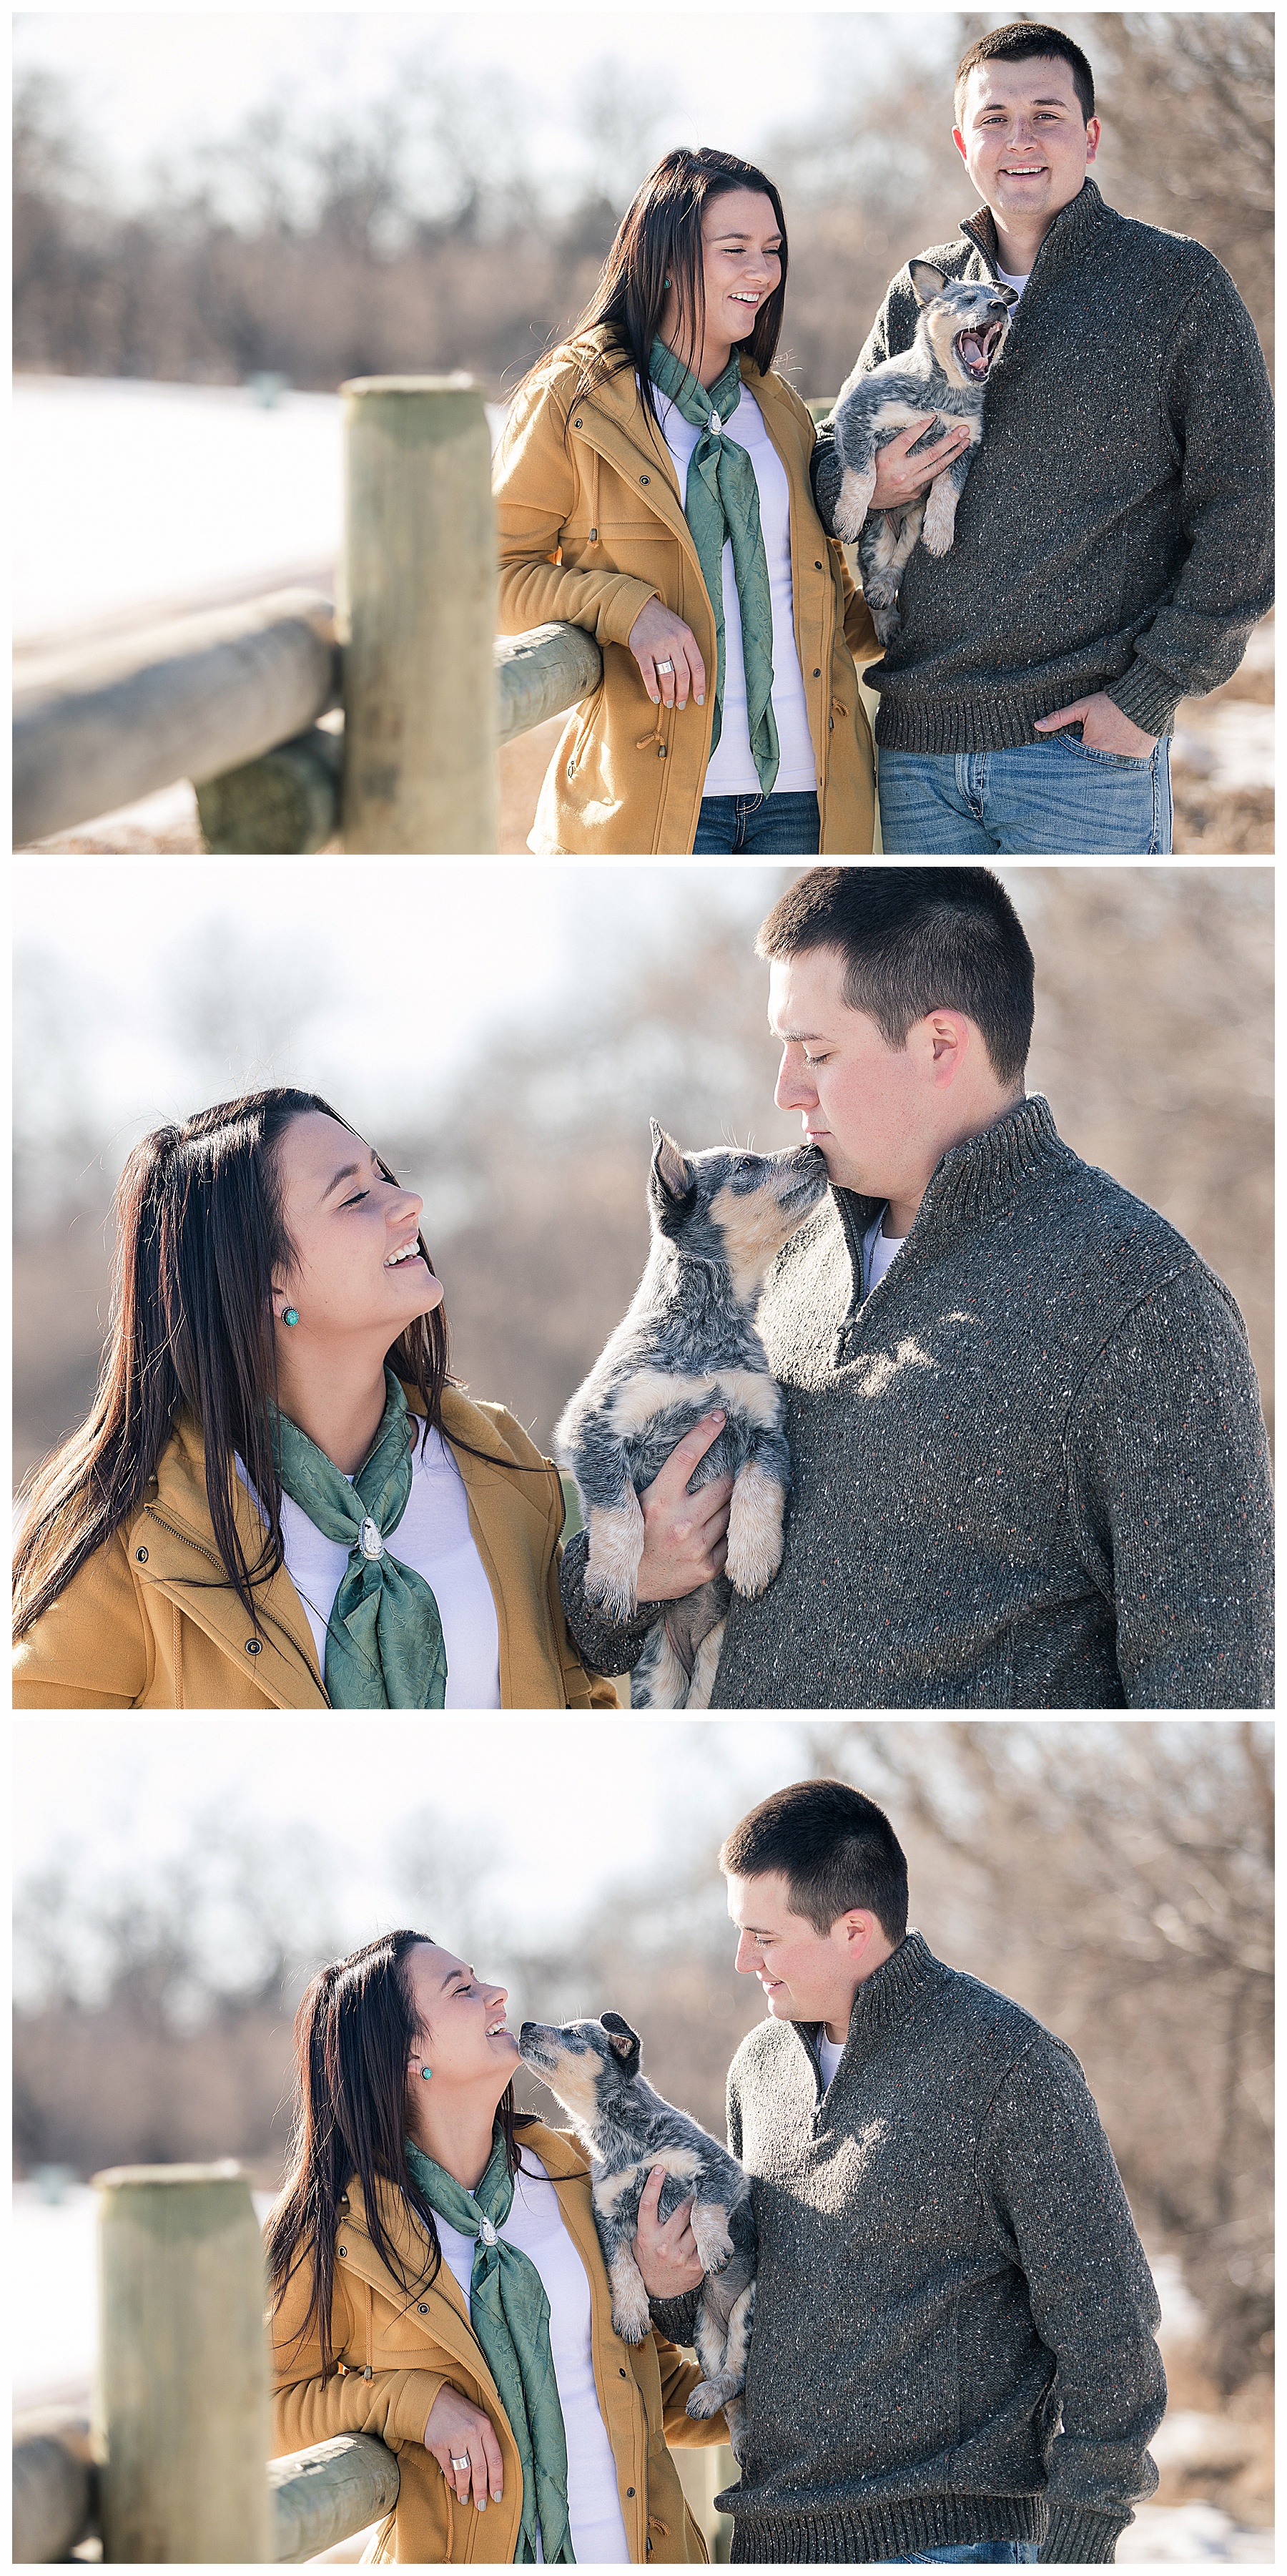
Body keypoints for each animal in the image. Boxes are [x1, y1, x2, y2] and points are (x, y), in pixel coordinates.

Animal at [515, 2009, 751, 2452]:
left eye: (575, 2034)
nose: (524, 2026)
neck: (621, 2141)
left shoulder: (718, 2168)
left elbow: (704, 2209)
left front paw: (712, 2247)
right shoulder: (607, 2214)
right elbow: (621, 2267)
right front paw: (630, 2314)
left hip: (747, 2311)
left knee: (739, 2374)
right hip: (706, 2333)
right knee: (732, 2390)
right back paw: (713, 2404)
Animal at [558, 1128, 829, 1710]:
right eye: (746, 1165)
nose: (815, 1148)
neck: (710, 1326)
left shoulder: (766, 1424)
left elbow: (760, 1486)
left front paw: (753, 1556)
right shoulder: (593, 1426)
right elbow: (619, 1512)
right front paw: (611, 1582)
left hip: (708, 1667)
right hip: (657, 1678)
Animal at [818, 264, 1019, 644]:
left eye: (997, 299)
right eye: (967, 299)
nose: (1001, 306)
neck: (945, 395)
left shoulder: (965, 442)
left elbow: (948, 491)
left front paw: (941, 532)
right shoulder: (856, 416)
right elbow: (863, 475)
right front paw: (848, 518)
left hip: (911, 522)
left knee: (897, 563)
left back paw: (887, 590)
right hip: (877, 534)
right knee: (875, 576)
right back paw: (884, 616)